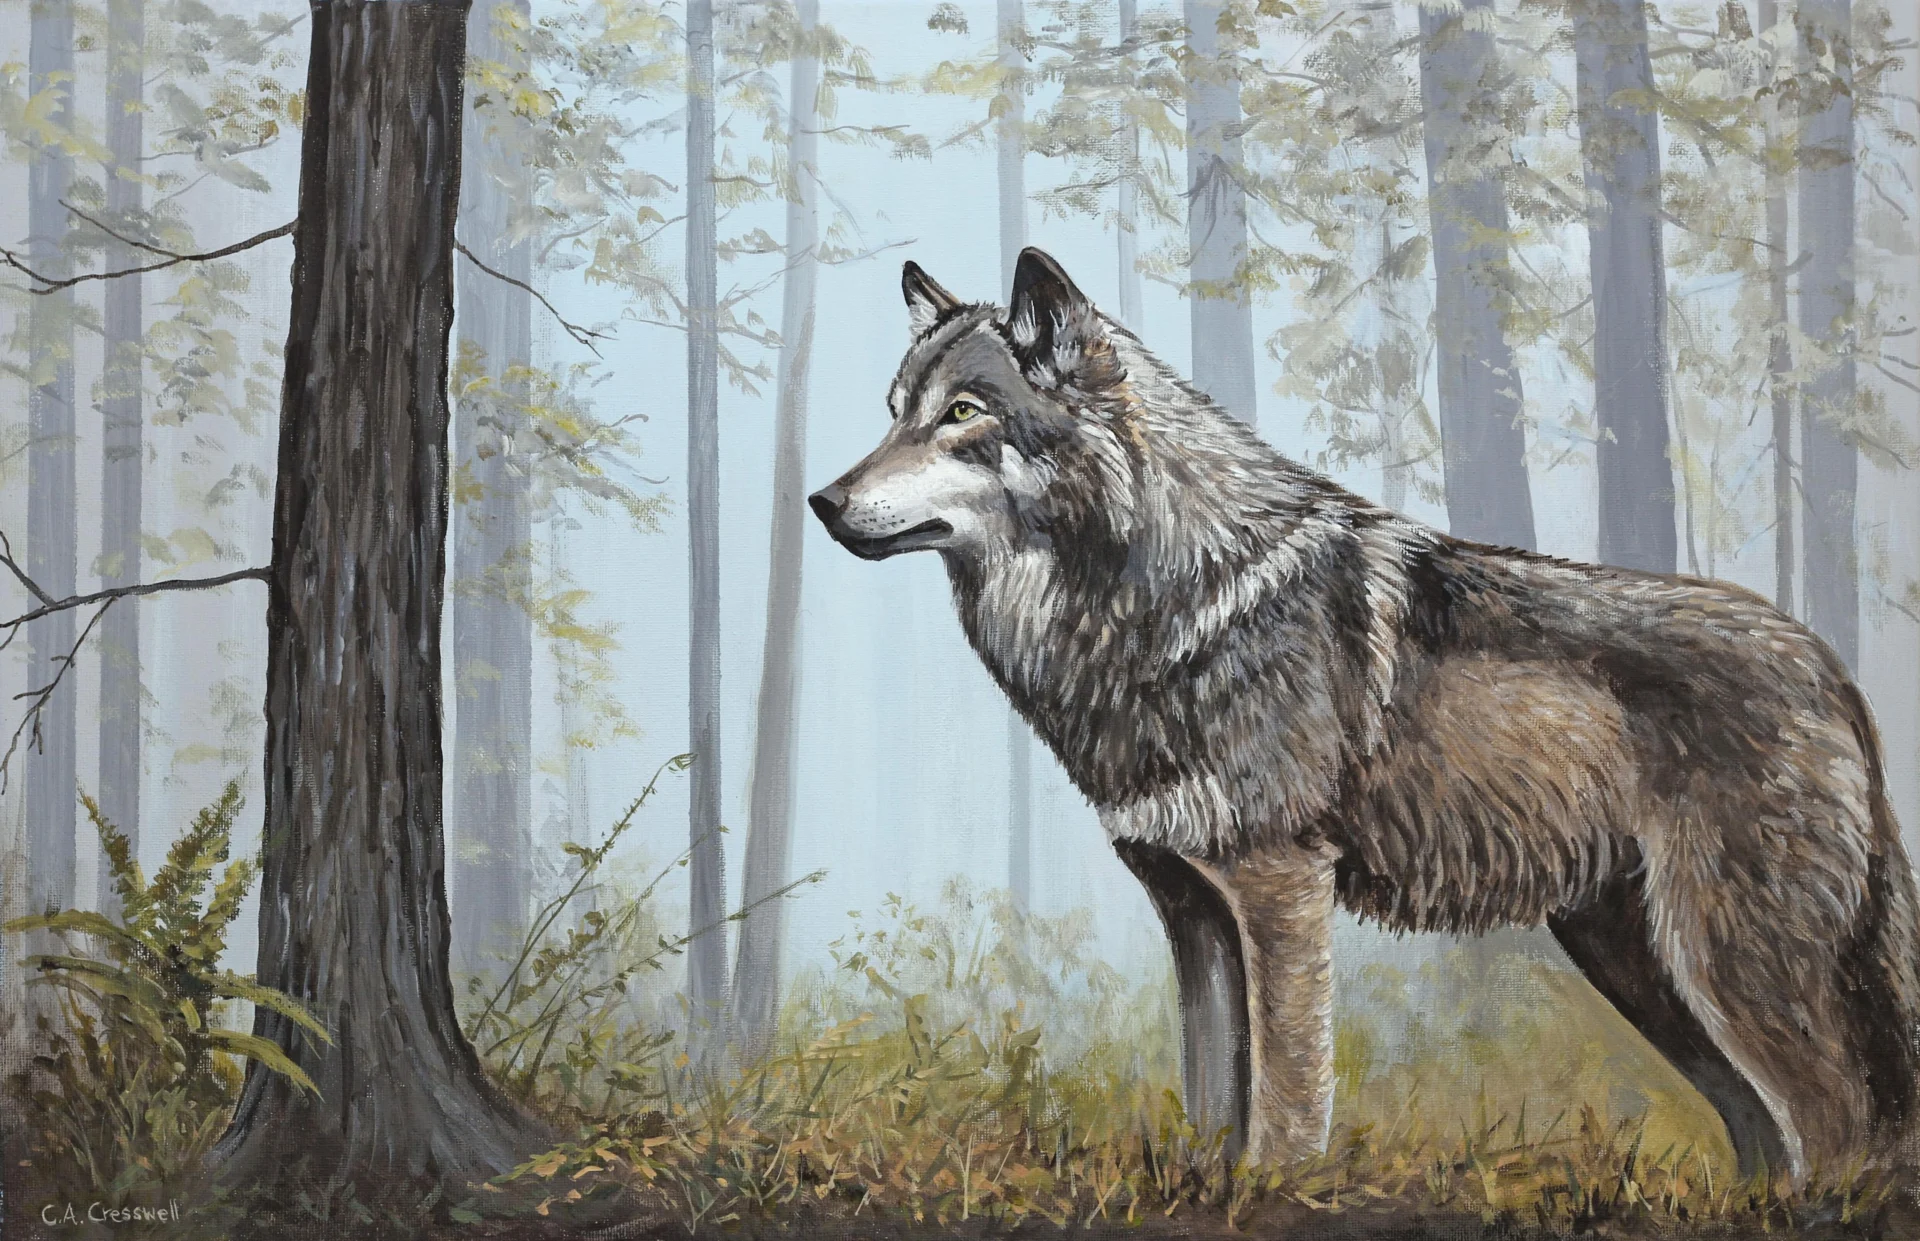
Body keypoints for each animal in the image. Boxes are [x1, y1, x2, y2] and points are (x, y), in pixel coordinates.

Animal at [808, 248, 1920, 1182]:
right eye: (895, 411)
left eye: (962, 412)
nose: (822, 500)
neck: (1162, 606)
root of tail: (1831, 665)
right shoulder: (1191, 908)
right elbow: (1212, 1094)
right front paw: (1211, 1187)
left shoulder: (1279, 888)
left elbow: (1288, 1099)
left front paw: (1273, 1191)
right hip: (1641, 965)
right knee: (1773, 1130)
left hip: (1726, 964)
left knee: (1844, 1124)